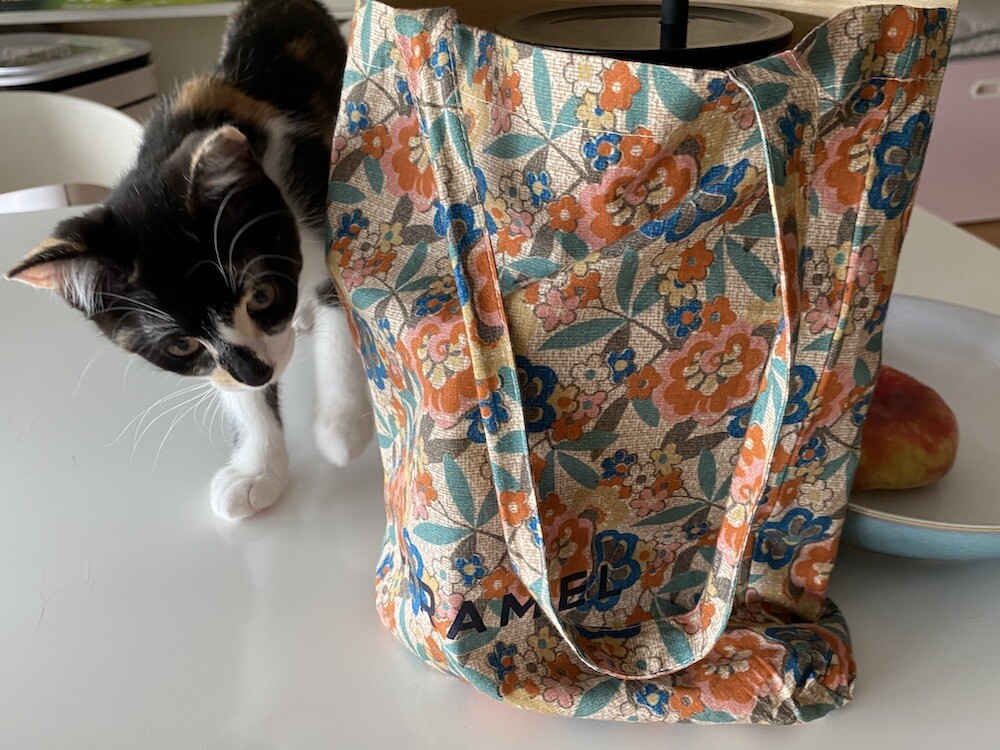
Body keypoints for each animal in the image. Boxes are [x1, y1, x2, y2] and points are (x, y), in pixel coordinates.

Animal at [6, 0, 373, 520]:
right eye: (180, 345)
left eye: (262, 295)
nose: (258, 372)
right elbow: (228, 382)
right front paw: (258, 470)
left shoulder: (323, 208)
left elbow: (338, 311)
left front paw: (341, 426)